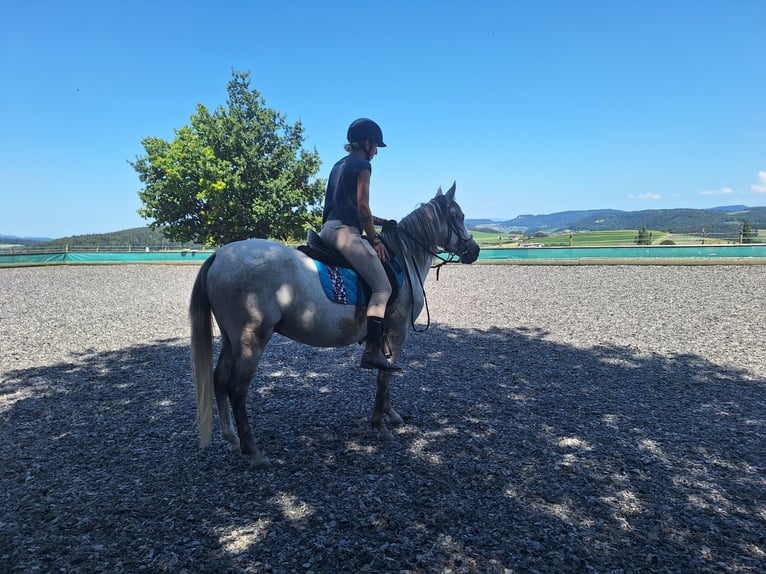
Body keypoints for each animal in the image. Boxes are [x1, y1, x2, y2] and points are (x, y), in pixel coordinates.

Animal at [189, 184, 480, 468]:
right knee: (237, 389)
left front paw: (391, 414)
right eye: (459, 216)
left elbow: (383, 373)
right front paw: (380, 425)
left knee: (219, 380)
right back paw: (254, 452)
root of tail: (219, 255)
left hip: (231, 339)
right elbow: (384, 376)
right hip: (252, 340)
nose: (475, 250)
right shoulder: (398, 330)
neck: (404, 258)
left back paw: (232, 438)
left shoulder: (384, 334)